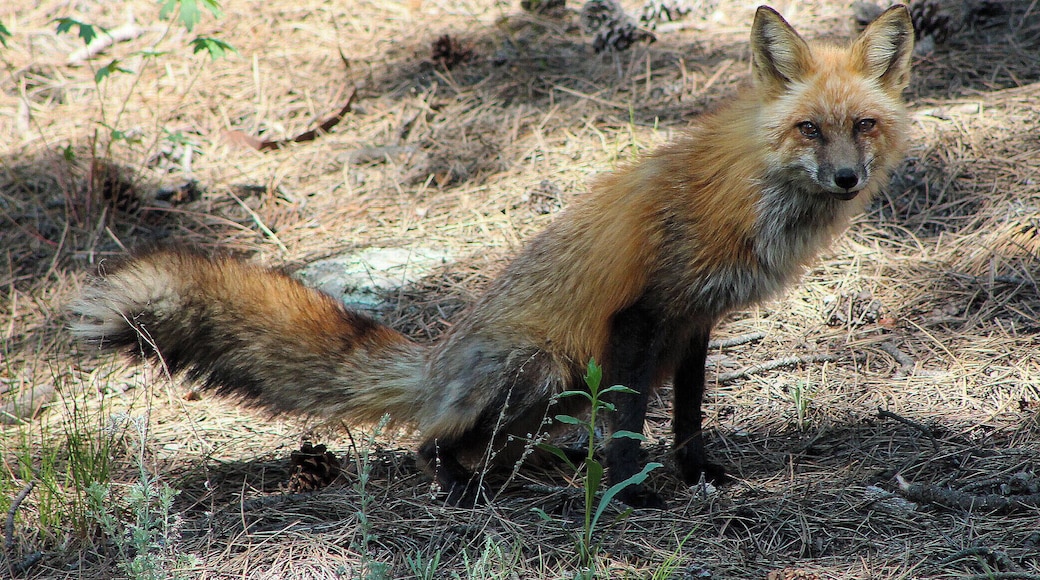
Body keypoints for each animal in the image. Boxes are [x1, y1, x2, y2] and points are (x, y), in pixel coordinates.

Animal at [71, 5, 914, 508]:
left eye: (864, 125)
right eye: (809, 128)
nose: (848, 178)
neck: (751, 195)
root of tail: (437, 365)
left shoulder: (694, 322)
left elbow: (688, 417)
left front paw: (695, 473)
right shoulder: (642, 315)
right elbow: (631, 423)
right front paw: (633, 494)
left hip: (564, 388)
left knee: (498, 443)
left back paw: (546, 469)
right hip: (540, 368)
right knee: (431, 441)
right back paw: (465, 487)